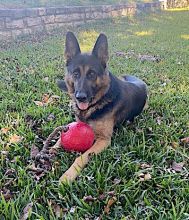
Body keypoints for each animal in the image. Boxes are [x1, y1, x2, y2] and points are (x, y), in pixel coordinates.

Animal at [57, 31, 148, 183]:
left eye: (92, 74)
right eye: (75, 73)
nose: (80, 97)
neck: (96, 104)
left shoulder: (103, 140)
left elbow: (81, 157)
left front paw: (68, 175)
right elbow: (57, 139)